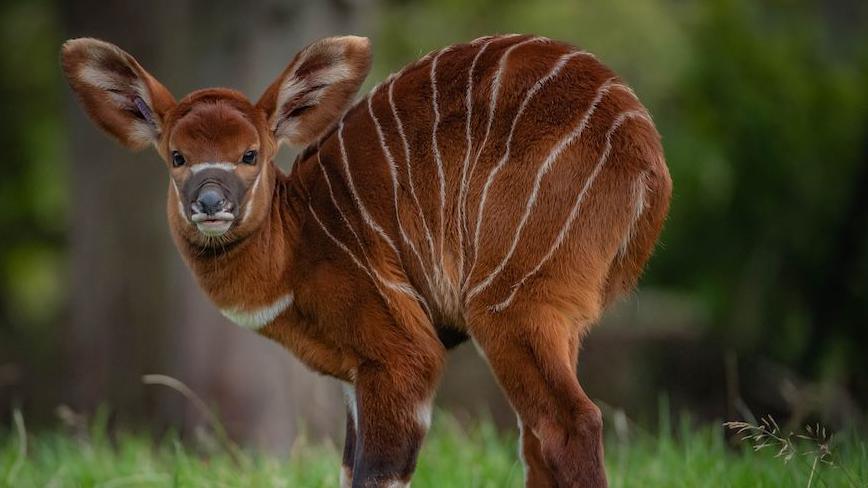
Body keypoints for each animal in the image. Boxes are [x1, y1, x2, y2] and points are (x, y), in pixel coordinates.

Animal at [61, 33, 671, 487]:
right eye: (178, 156)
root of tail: (647, 161)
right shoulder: (355, 376)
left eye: (250, 154)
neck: (298, 242)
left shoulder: (402, 354)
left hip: (509, 303)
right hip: (558, 318)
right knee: (535, 435)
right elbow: (347, 468)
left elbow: (378, 473)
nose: (210, 204)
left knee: (570, 422)